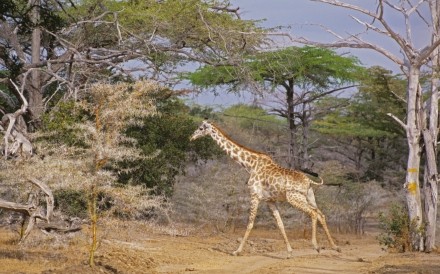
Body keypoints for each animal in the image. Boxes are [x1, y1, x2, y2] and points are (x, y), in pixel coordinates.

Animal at [190, 120, 340, 256]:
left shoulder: (254, 195)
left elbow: (250, 223)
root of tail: (308, 181)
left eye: (201, 128)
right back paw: (335, 247)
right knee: (321, 214)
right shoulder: (270, 200)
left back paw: (316, 246)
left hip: (294, 198)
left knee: (313, 214)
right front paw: (289, 252)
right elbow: (280, 224)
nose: (192, 137)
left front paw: (236, 251)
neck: (250, 165)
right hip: (309, 197)